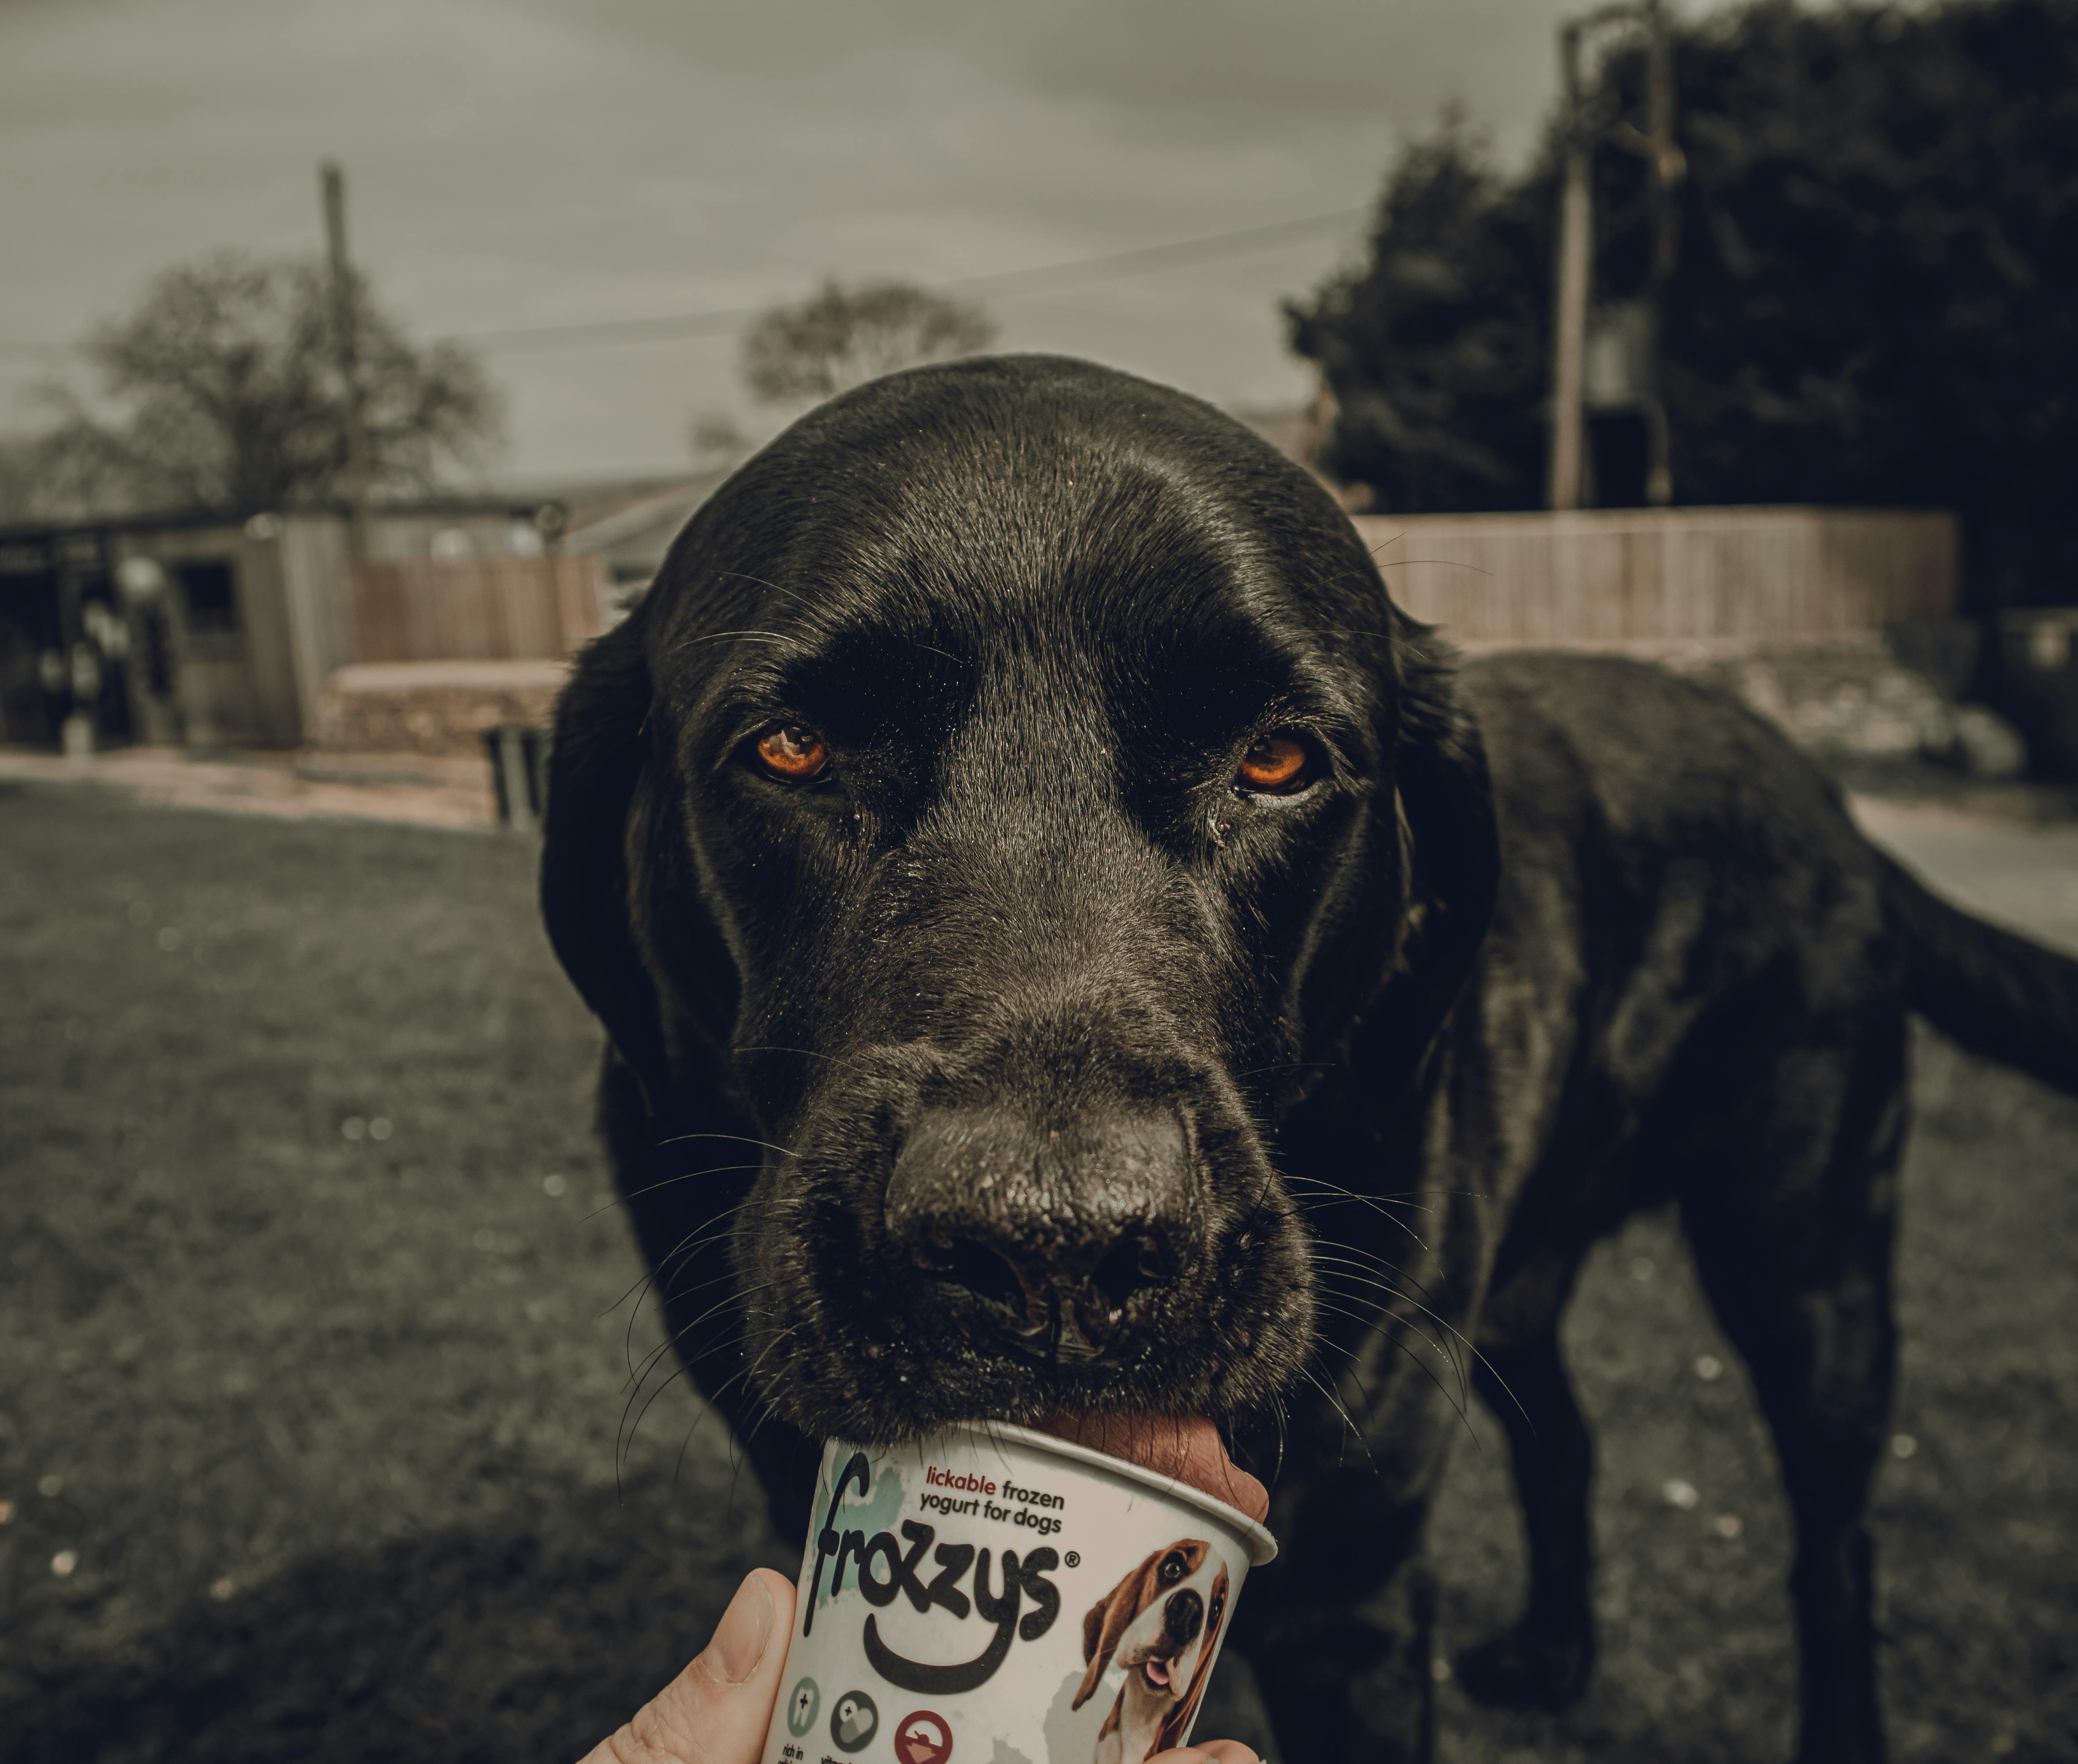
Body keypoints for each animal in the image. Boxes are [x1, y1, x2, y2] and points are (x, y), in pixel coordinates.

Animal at [540, 357, 2078, 1762]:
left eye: (1279, 762)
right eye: (790, 749)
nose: (1052, 1247)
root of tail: (1822, 787)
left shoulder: (1353, 1585)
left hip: (1807, 1261)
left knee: (1833, 1548)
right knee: (1570, 1438)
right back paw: (1552, 1653)